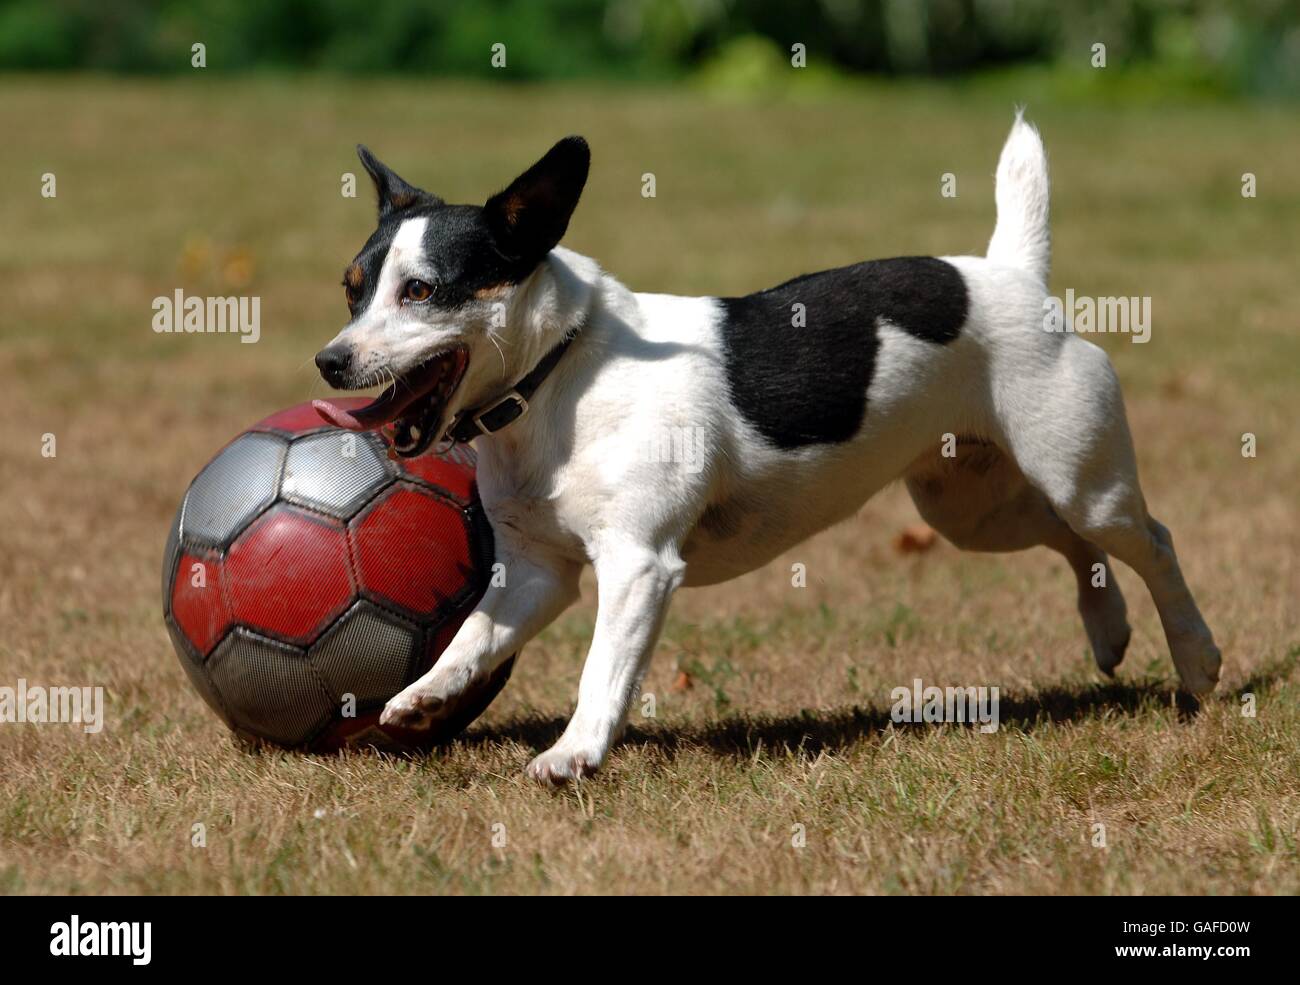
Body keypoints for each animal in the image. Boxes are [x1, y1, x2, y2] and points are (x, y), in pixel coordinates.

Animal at [312, 115, 1216, 784]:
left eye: (422, 290)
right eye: (352, 291)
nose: (331, 360)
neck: (558, 375)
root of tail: (1012, 275)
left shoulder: (639, 566)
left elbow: (602, 671)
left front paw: (573, 753)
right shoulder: (539, 572)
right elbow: (473, 637)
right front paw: (424, 697)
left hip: (1078, 473)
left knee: (1151, 542)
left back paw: (1199, 661)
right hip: (969, 505)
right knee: (1074, 543)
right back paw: (1108, 630)